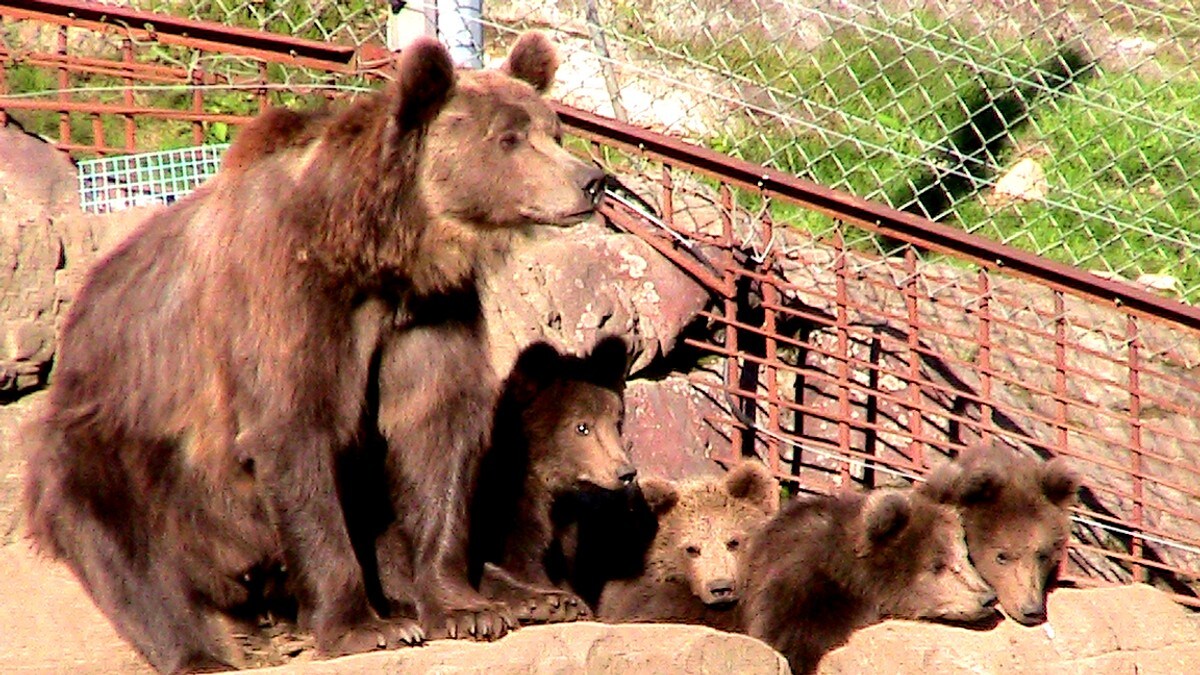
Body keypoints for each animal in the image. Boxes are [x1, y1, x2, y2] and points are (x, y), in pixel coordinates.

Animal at [18, 32, 600, 672]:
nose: (591, 180)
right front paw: (367, 627)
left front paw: (463, 608)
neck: (375, 251)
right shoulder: (284, 296)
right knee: (129, 551)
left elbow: (434, 429)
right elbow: (294, 432)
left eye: (554, 132)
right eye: (508, 138)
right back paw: (201, 651)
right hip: (116, 445)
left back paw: (536, 596)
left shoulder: (428, 311)